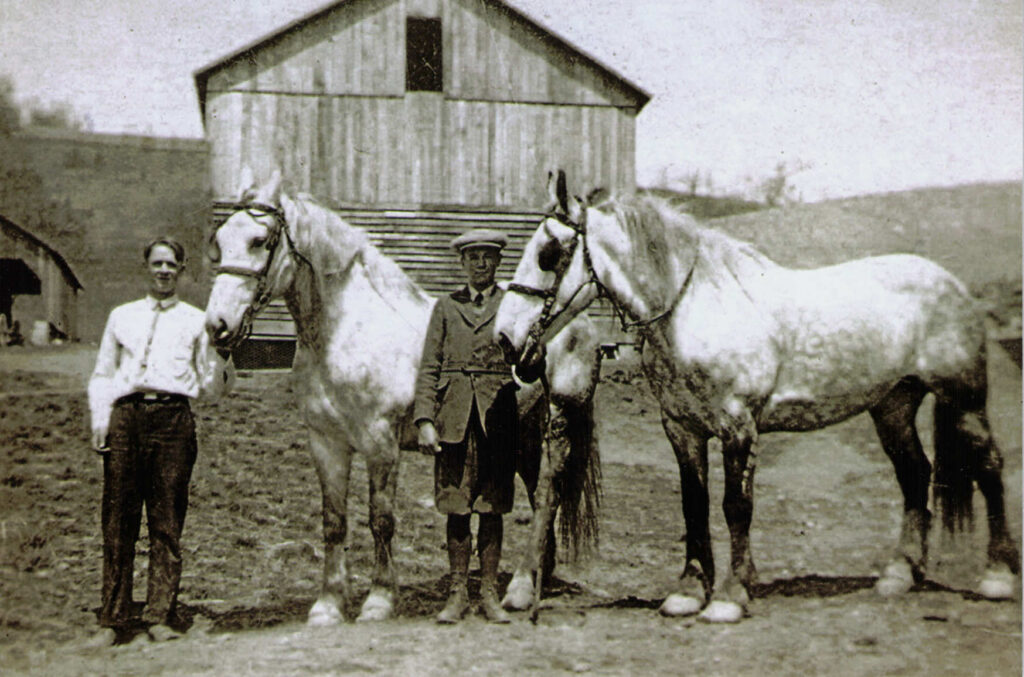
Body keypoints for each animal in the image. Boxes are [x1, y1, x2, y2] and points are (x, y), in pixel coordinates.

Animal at [205, 172, 598, 626]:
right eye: (220, 240)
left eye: (259, 240)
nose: (217, 327)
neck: (345, 331)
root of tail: (578, 323)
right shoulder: (326, 442)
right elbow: (333, 521)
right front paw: (329, 604)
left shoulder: (381, 444)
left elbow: (381, 520)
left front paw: (379, 600)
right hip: (522, 431)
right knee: (538, 498)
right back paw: (537, 579)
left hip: (557, 421)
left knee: (549, 495)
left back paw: (518, 589)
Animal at [495, 170, 1015, 622]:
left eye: (548, 253)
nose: (505, 338)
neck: (692, 307)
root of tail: (951, 285)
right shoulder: (682, 428)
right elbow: (694, 504)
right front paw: (688, 592)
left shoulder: (738, 426)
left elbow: (736, 507)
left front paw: (729, 597)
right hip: (893, 405)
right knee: (914, 474)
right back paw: (900, 575)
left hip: (965, 400)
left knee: (988, 466)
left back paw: (998, 576)